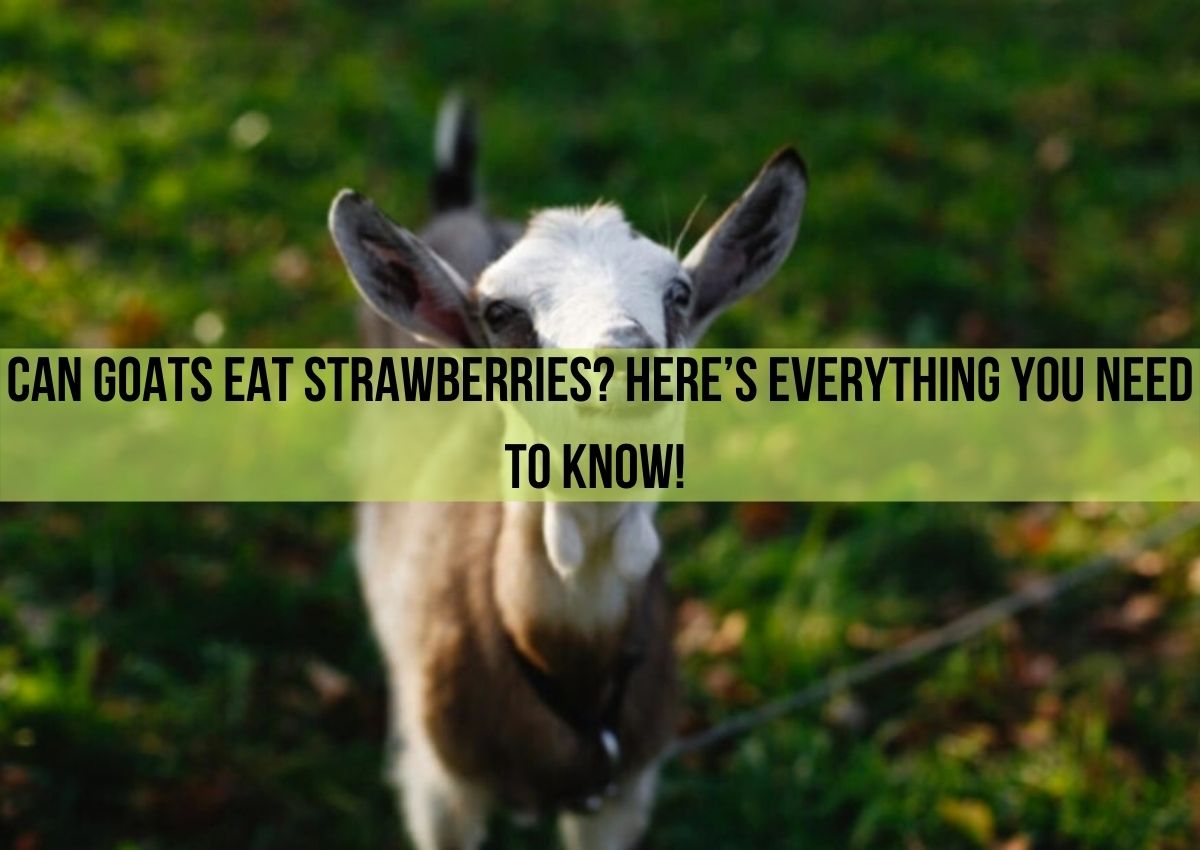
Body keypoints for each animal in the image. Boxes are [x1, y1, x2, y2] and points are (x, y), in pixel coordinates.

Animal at [327, 94, 807, 850]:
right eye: (500, 312)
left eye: (678, 293)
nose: (624, 358)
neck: (566, 658)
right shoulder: (445, 796)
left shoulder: (622, 792)